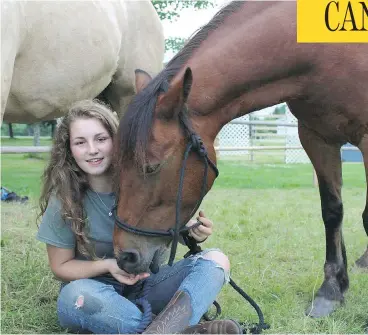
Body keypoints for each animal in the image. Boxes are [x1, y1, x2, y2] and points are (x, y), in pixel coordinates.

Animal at [113, 1, 366, 318]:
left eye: (152, 166)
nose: (124, 255)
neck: (322, 54)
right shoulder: (316, 137)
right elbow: (332, 211)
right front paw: (332, 289)